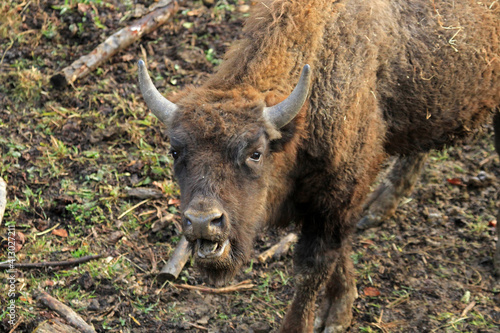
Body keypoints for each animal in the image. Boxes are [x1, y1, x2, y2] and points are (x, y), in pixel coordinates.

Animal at [139, 0, 498, 330]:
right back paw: (380, 207)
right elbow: (337, 257)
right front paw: (341, 307)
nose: (202, 222)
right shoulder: (327, 204)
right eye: (175, 151)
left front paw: (329, 319)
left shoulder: (336, 201)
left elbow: (313, 269)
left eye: (255, 152)